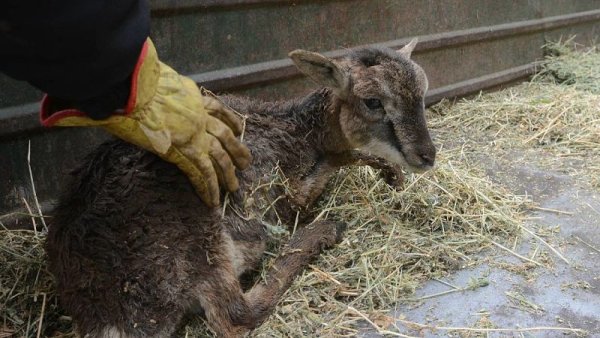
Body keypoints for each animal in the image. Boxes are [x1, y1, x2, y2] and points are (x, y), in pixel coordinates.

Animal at [45, 39, 436, 336]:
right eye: (373, 102)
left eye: (422, 93)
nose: (427, 156)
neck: (295, 129)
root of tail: (107, 313)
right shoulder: (279, 192)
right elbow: (335, 164)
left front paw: (393, 176)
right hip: (197, 241)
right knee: (236, 314)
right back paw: (322, 231)